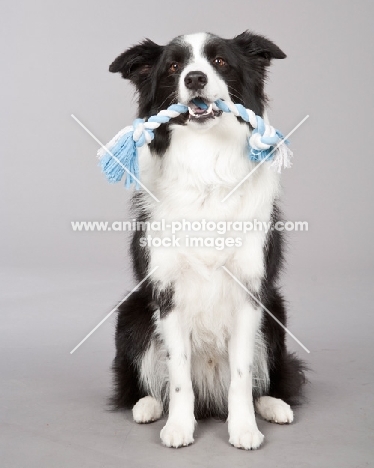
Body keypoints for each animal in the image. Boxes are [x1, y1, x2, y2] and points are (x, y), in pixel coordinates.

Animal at [107, 31, 304, 448]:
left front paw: (244, 428)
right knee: (145, 383)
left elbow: (243, 375)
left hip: (276, 310)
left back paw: (273, 406)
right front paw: (179, 427)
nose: (195, 78)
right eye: (173, 66)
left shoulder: (250, 290)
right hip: (131, 310)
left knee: (265, 380)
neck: (205, 161)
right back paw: (147, 406)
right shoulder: (167, 292)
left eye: (220, 62)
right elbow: (178, 374)